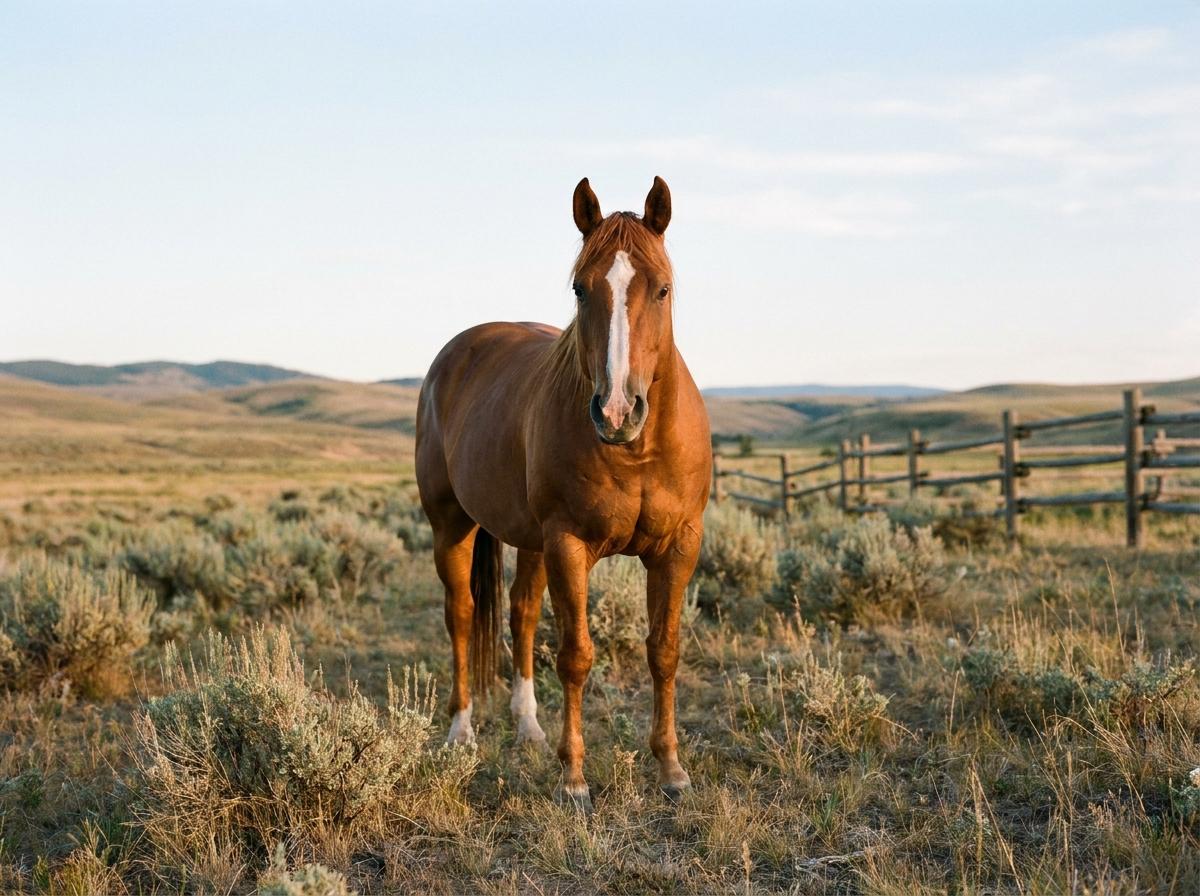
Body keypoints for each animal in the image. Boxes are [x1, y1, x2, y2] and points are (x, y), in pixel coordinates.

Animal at [415, 176, 711, 808]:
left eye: (663, 289)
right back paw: (460, 732)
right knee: (461, 615)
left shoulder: (678, 546)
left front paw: (671, 768)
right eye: (580, 288)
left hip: (528, 541)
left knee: (521, 616)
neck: (636, 452)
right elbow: (576, 656)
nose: (618, 411)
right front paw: (573, 777)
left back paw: (528, 727)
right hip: (451, 525)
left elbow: (664, 651)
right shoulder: (569, 545)